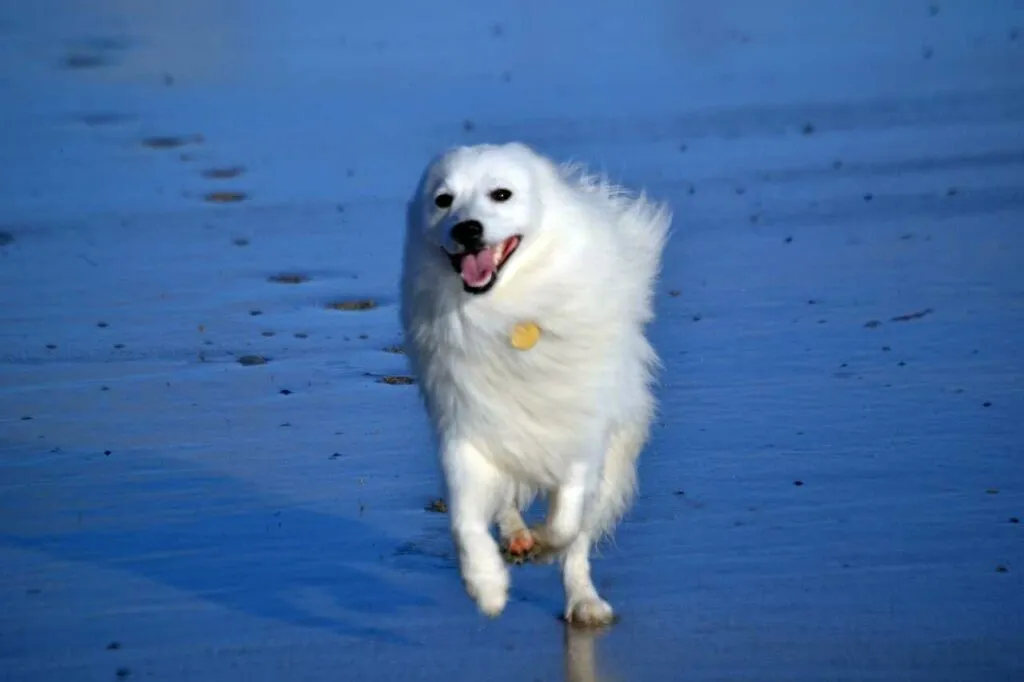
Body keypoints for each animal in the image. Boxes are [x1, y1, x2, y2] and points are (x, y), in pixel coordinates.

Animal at [399, 143, 671, 626]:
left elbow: (566, 525)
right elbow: (464, 520)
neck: (511, 312)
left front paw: (545, 547)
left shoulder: (582, 437)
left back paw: (583, 601)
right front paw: (487, 586)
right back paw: (515, 538)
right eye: (443, 201)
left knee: (579, 542)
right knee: (506, 504)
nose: (467, 229)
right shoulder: (466, 430)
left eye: (501, 194)